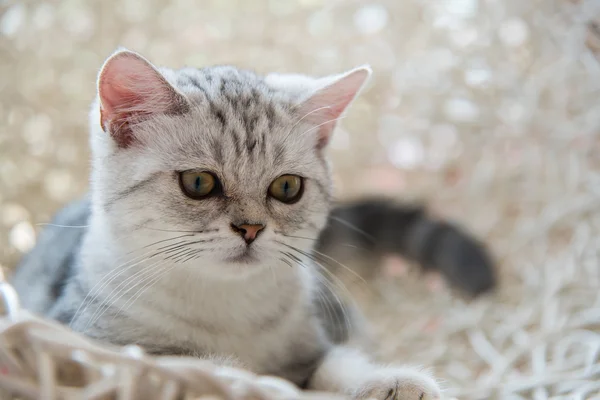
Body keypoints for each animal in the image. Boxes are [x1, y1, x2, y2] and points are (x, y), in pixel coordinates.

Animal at [10, 49, 492, 400]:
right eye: (199, 182)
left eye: (287, 188)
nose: (251, 229)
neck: (225, 307)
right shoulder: (89, 345)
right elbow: (188, 368)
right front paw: (239, 378)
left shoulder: (314, 341)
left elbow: (334, 364)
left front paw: (388, 382)